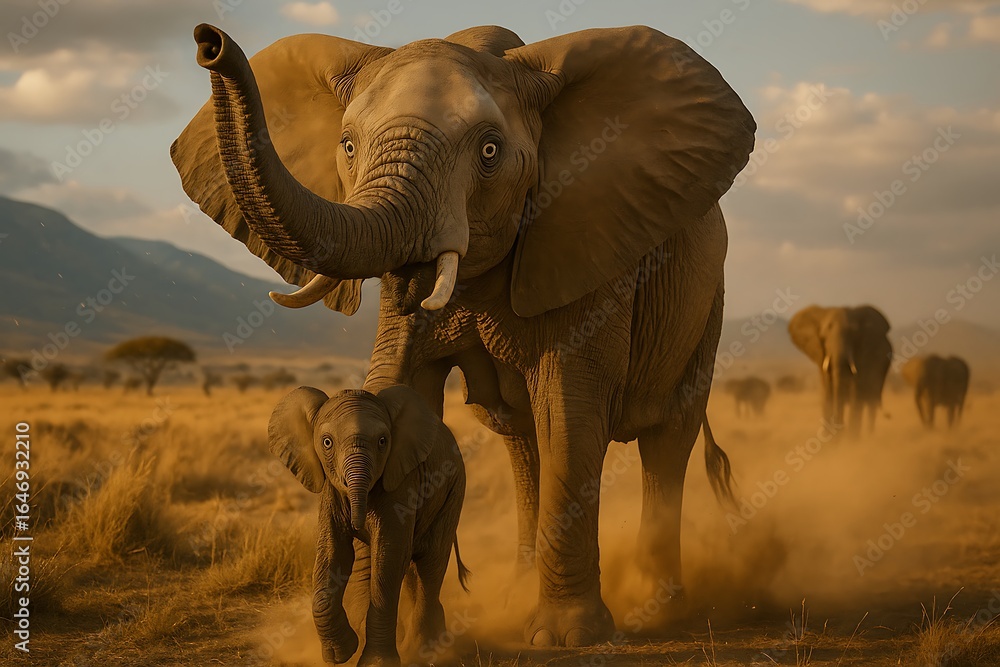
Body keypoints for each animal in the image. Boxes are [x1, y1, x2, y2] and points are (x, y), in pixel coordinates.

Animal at [269, 385, 468, 666]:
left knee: (430, 564)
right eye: (327, 442)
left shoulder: (403, 482)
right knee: (413, 570)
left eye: (383, 441)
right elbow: (334, 553)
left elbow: (388, 556)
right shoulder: (331, 490)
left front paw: (376, 662)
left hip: (453, 489)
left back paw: (423, 650)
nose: (357, 525)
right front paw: (341, 653)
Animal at [788, 305, 893, 436]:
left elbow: (855, 397)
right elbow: (827, 396)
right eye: (823, 337)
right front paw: (830, 440)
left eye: (854, 336)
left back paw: (869, 436)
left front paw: (851, 439)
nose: (842, 429)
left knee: (871, 403)